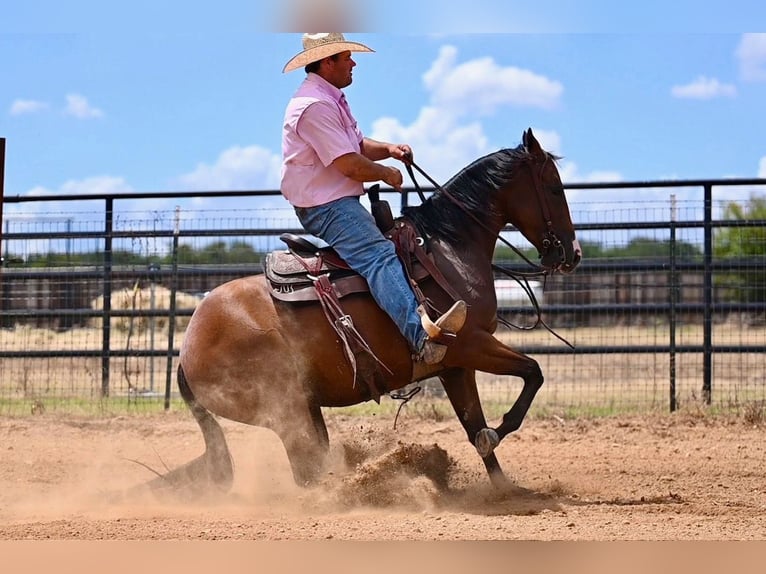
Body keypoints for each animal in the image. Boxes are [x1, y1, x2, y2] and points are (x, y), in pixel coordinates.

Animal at [172, 128, 584, 492]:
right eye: (553, 187)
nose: (573, 253)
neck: (449, 249)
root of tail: (187, 347)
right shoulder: (469, 344)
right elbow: (532, 373)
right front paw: (495, 435)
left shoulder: (455, 366)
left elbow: (473, 424)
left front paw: (506, 489)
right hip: (285, 411)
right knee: (306, 467)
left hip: (305, 407)